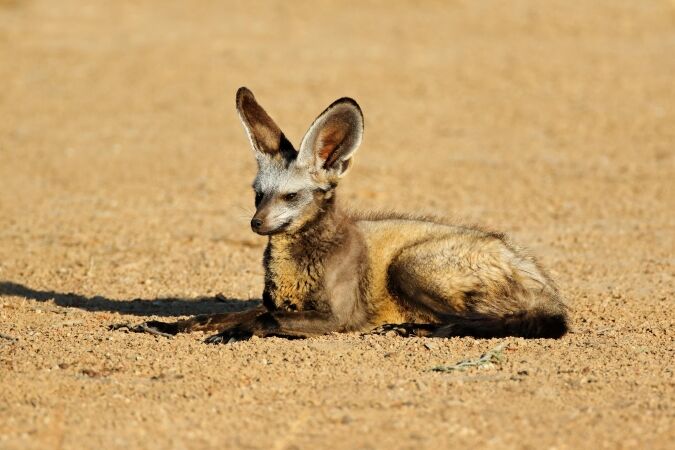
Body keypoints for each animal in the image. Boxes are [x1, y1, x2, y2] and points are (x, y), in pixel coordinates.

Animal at [118, 87, 568, 343]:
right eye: (258, 195)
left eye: (291, 196)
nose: (256, 224)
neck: (300, 267)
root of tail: (543, 280)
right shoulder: (277, 302)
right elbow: (215, 314)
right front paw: (164, 326)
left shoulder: (340, 316)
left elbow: (267, 320)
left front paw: (237, 333)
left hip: (410, 265)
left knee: (502, 320)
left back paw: (421, 329)